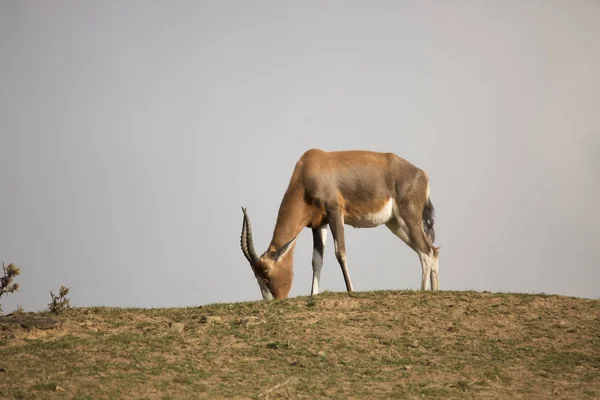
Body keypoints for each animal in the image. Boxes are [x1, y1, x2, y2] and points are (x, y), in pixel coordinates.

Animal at [240, 149, 440, 300]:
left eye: (266, 273)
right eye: (256, 275)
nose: (272, 301)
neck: (309, 168)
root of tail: (421, 174)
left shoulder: (335, 213)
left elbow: (340, 253)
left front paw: (351, 290)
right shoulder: (318, 224)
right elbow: (316, 260)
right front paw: (313, 295)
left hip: (409, 217)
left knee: (425, 250)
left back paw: (422, 290)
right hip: (396, 224)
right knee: (432, 250)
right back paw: (434, 290)